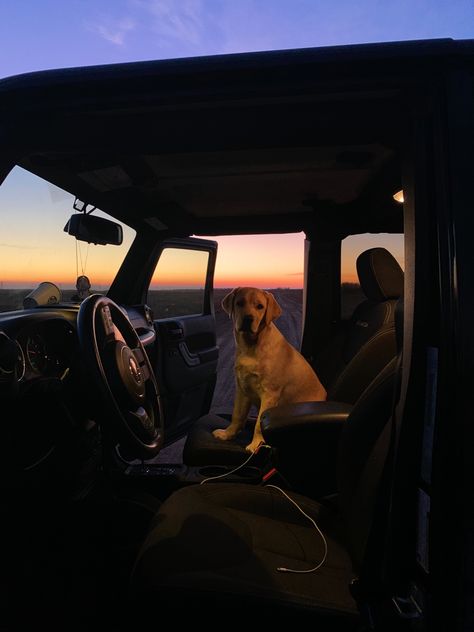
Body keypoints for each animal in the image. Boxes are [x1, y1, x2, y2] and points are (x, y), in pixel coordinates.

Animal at [214, 286, 328, 454]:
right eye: (239, 303)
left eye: (260, 306)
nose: (248, 319)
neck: (251, 346)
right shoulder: (242, 389)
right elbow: (237, 415)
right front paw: (227, 434)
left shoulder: (269, 394)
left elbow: (259, 425)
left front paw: (256, 444)